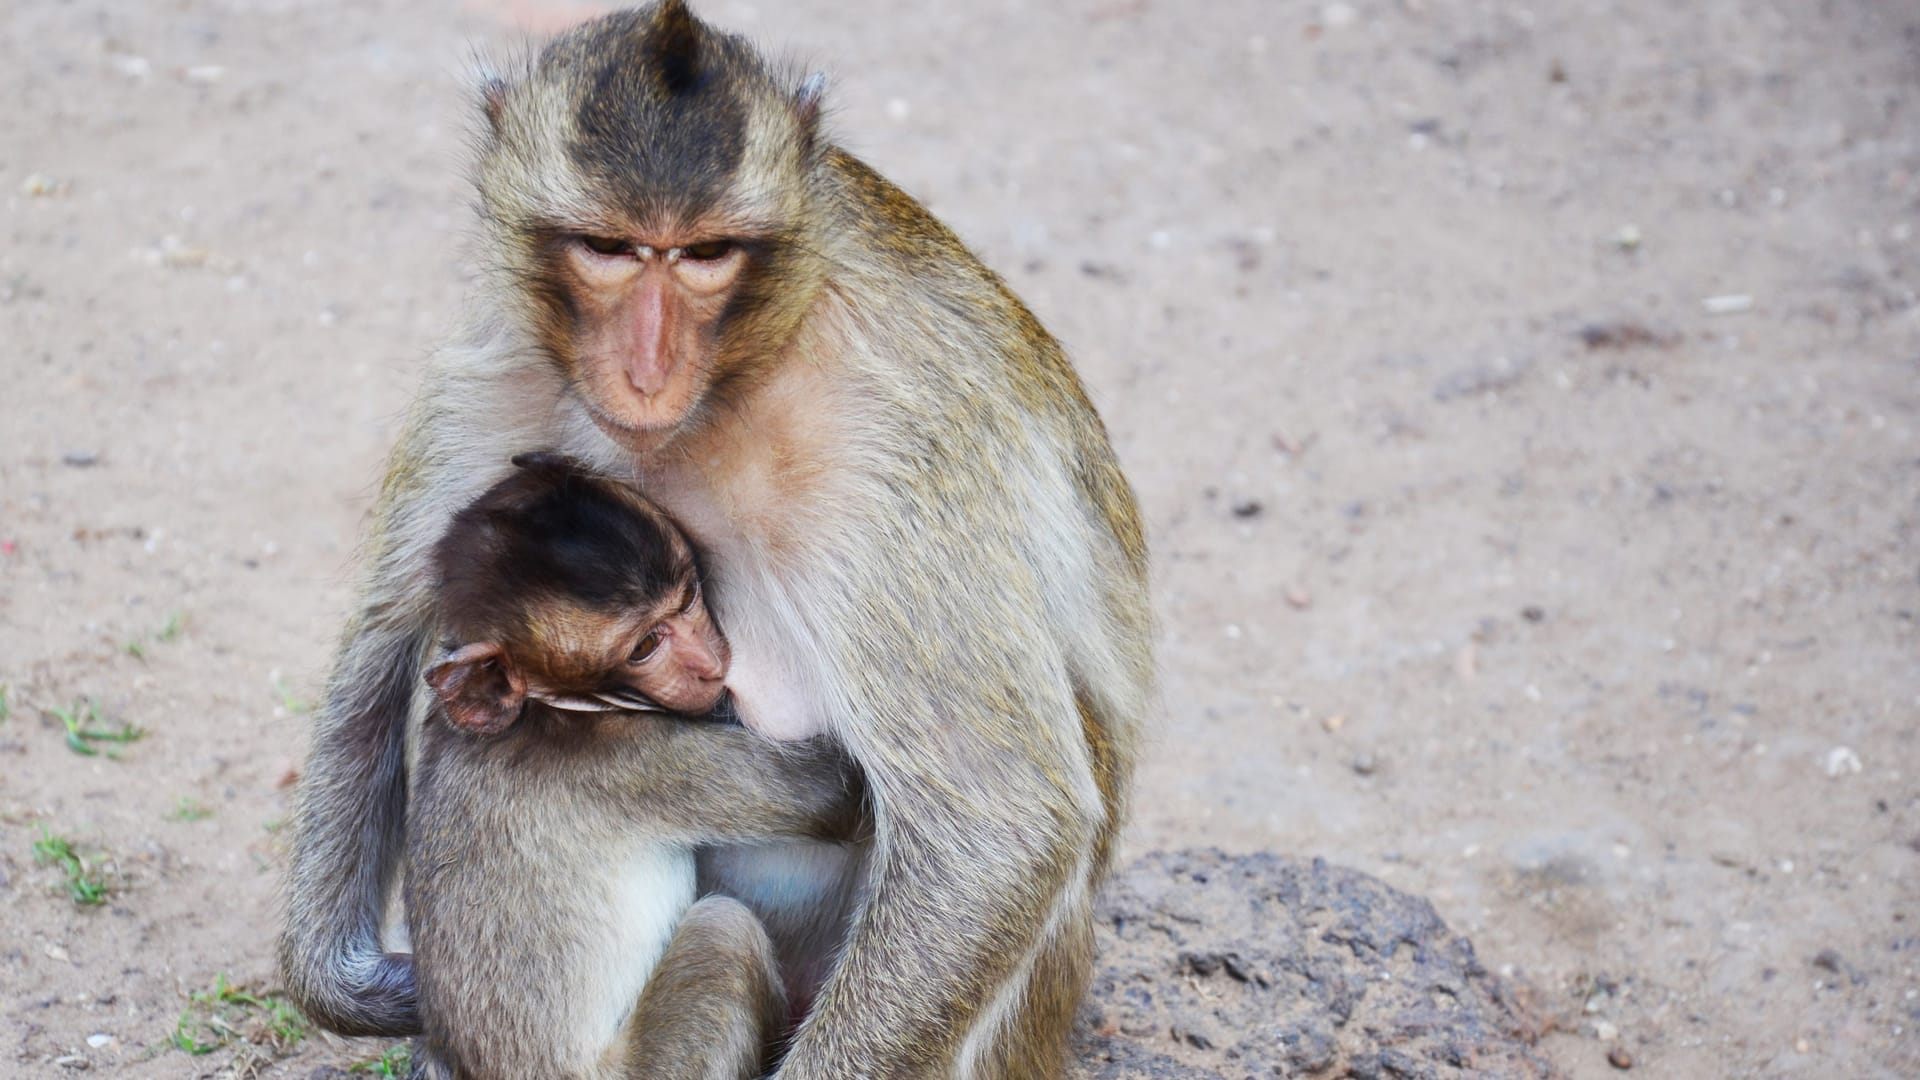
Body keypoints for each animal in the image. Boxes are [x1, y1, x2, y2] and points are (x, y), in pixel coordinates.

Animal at [407, 453, 864, 1076]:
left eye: (689, 596)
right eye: (645, 646)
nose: (707, 664)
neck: (545, 708)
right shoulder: (631, 759)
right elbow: (834, 792)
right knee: (723, 930)